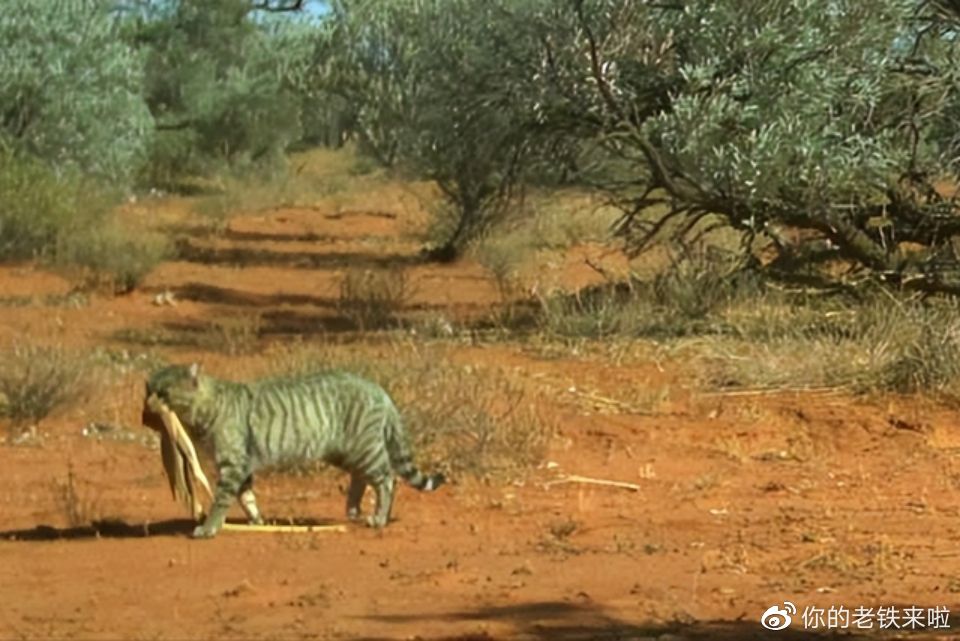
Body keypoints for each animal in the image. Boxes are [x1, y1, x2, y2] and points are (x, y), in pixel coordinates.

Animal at [142, 362, 446, 536]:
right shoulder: (242, 467)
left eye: (163, 393)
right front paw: (257, 521)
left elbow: (221, 500)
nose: (147, 409)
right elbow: (247, 497)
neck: (208, 407)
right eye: (147, 391)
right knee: (362, 479)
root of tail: (379, 389)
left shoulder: (233, 465)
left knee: (387, 480)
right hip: (346, 453)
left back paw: (378, 518)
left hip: (364, 449)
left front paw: (208, 528)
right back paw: (353, 511)